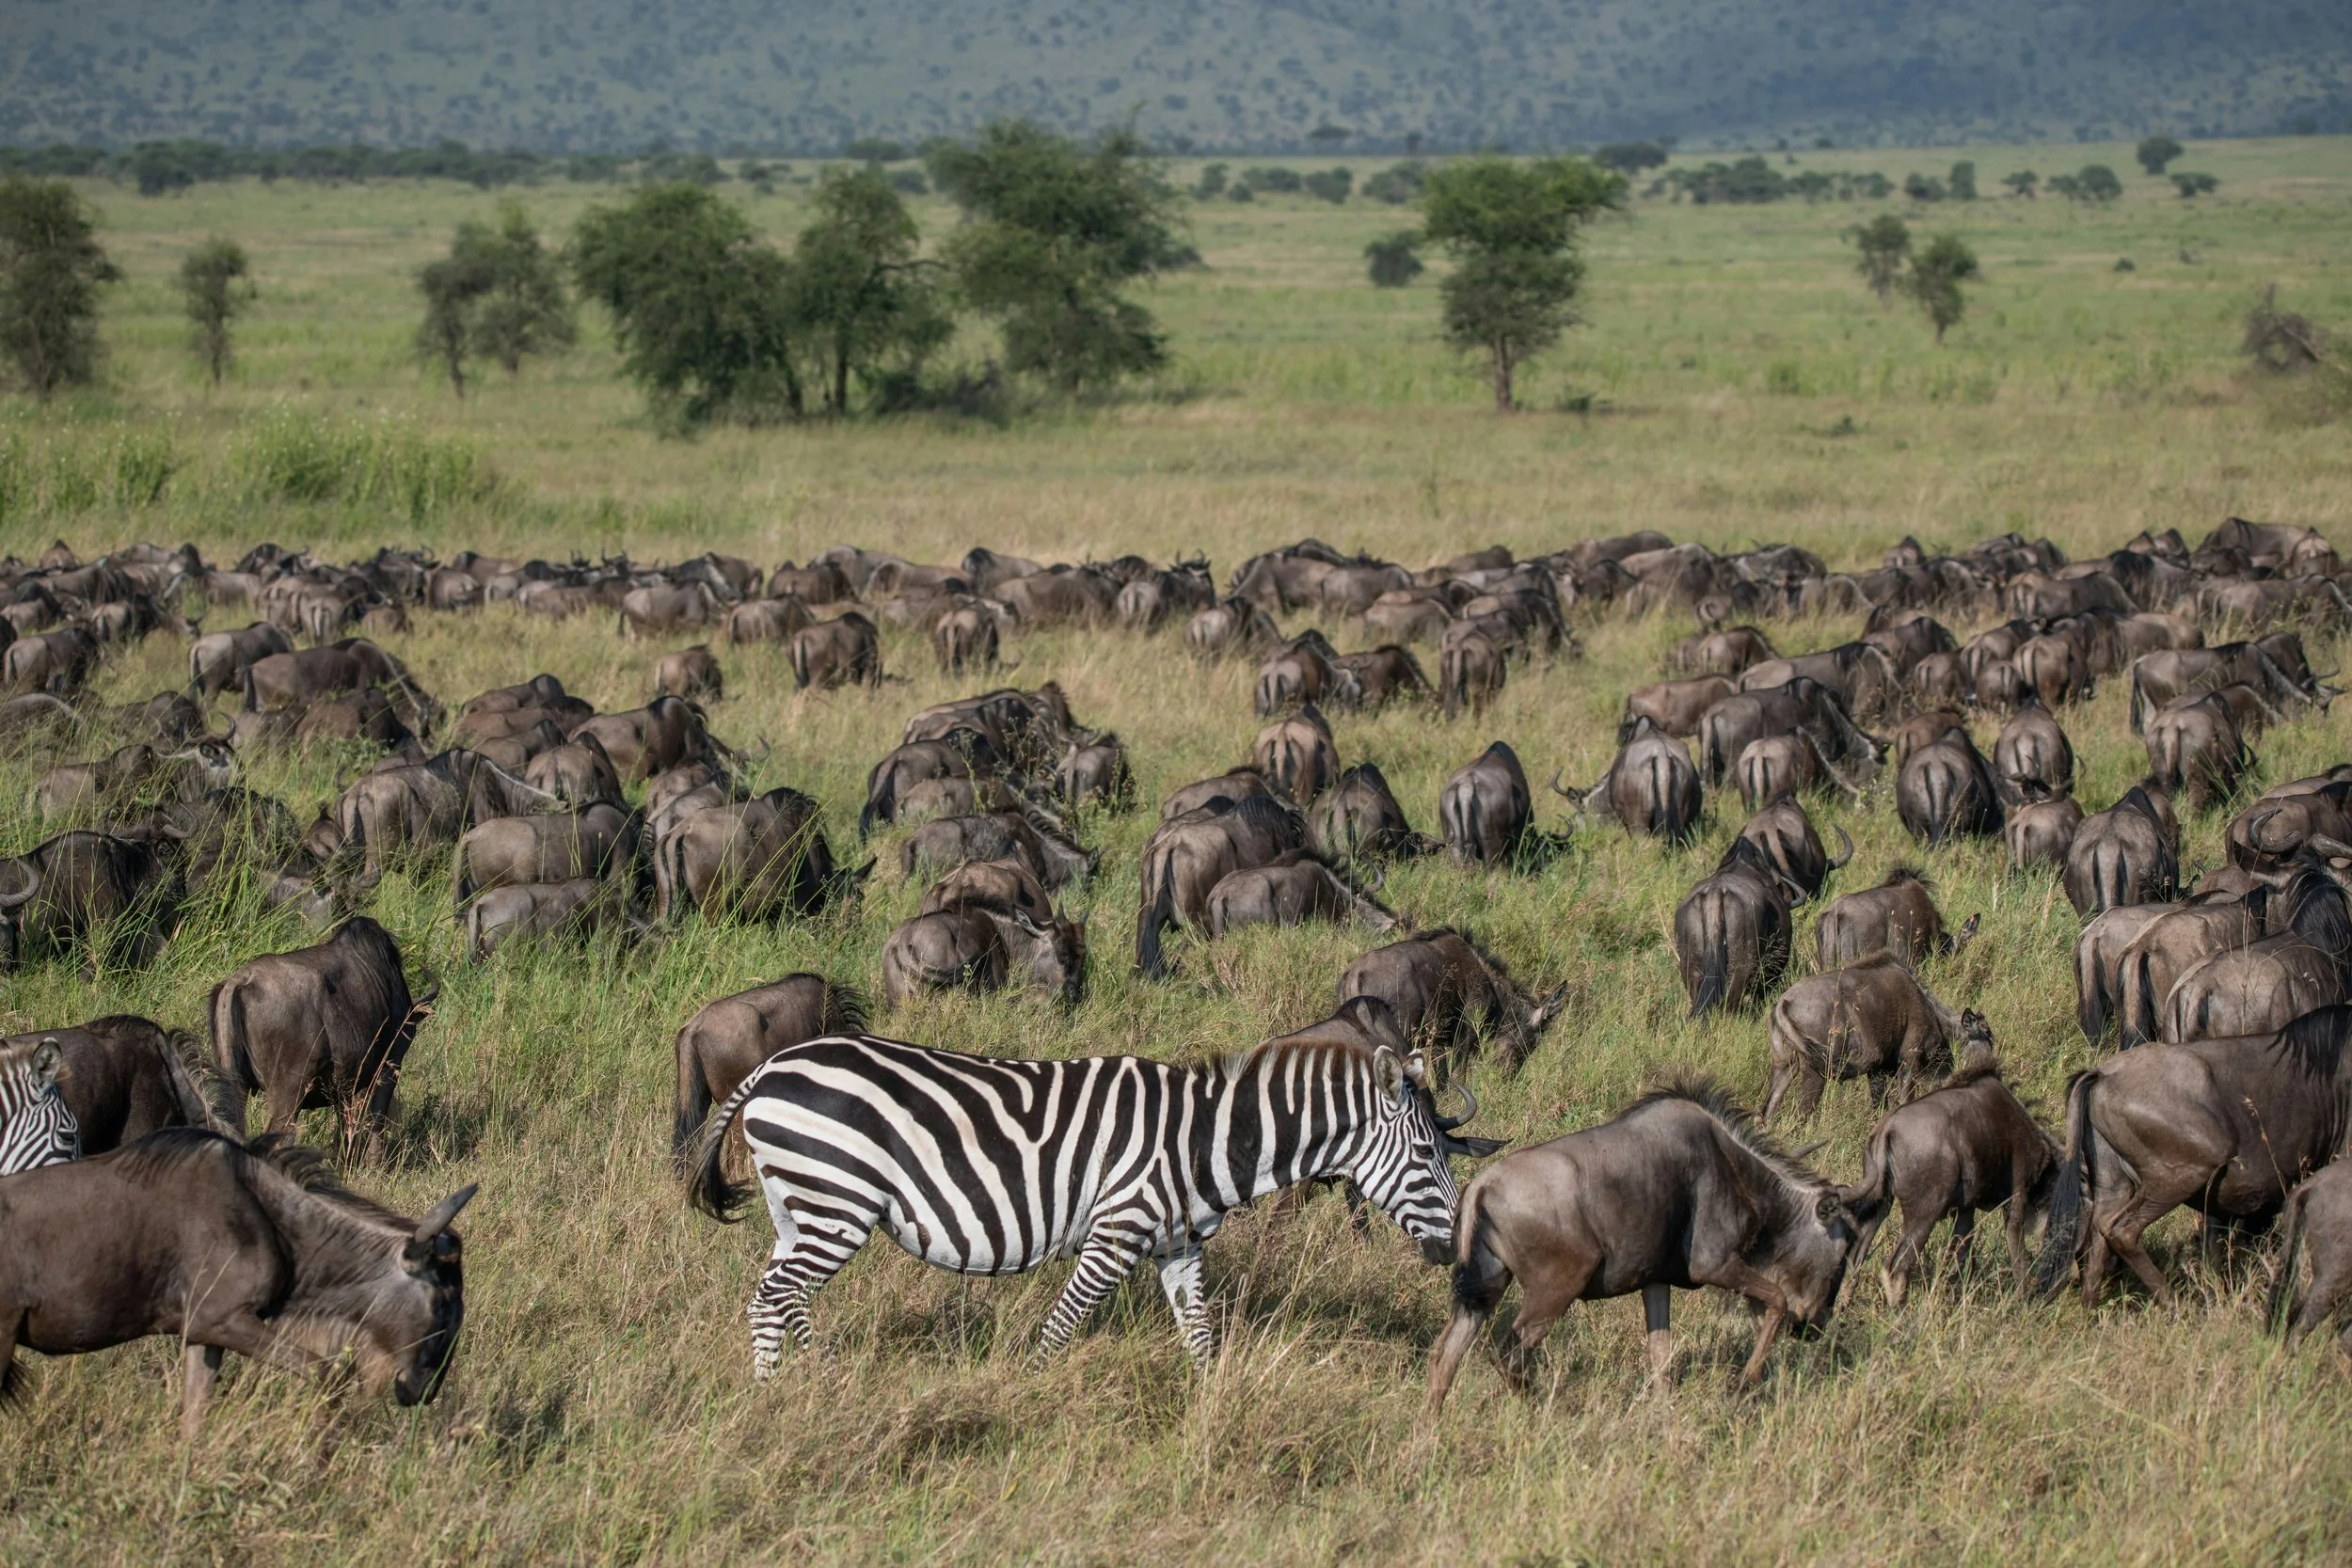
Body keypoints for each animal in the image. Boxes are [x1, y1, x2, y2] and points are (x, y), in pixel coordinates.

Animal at [689, 1021, 1498, 1377]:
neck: (1201, 1141)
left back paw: (788, 1392)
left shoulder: (1177, 1244)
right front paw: (1027, 1398)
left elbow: (1201, 1338)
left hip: (798, 1208)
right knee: (778, 1297)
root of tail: (771, 1065)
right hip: (837, 1203)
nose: (1451, 1251)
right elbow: (1059, 1329)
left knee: (776, 1296)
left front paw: (1209, 1415)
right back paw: (801, 1386)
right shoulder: (1118, 1229)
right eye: (1426, 1155)